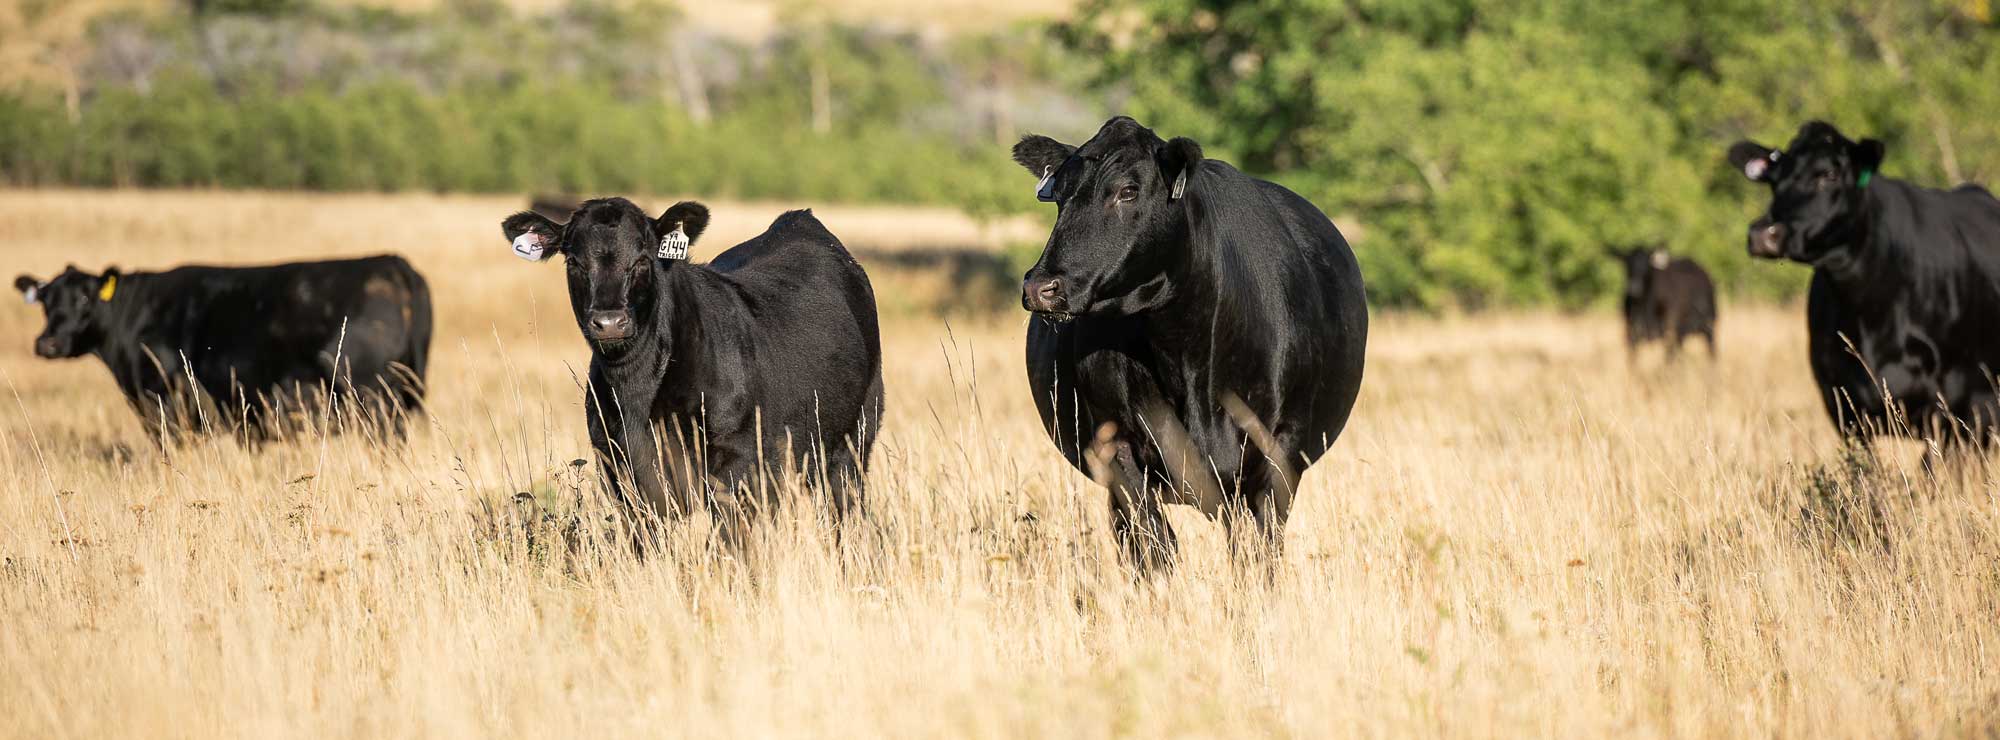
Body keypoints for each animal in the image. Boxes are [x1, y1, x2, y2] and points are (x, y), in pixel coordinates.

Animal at [13, 256, 432, 440]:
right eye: (46, 300)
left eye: (85, 299)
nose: (47, 342)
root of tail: (394, 264)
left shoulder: (164, 404)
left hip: (373, 398)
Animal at [500, 194, 884, 536]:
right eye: (574, 263)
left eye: (643, 258)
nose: (610, 322)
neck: (636, 391)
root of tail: (800, 219)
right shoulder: (619, 468)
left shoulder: (735, 462)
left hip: (854, 438)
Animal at [1016, 115, 1376, 568]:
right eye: (1059, 196)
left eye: (1128, 190)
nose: (1041, 286)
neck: (1184, 357)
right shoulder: (1114, 448)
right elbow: (1155, 546)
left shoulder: (1280, 452)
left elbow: (1258, 553)